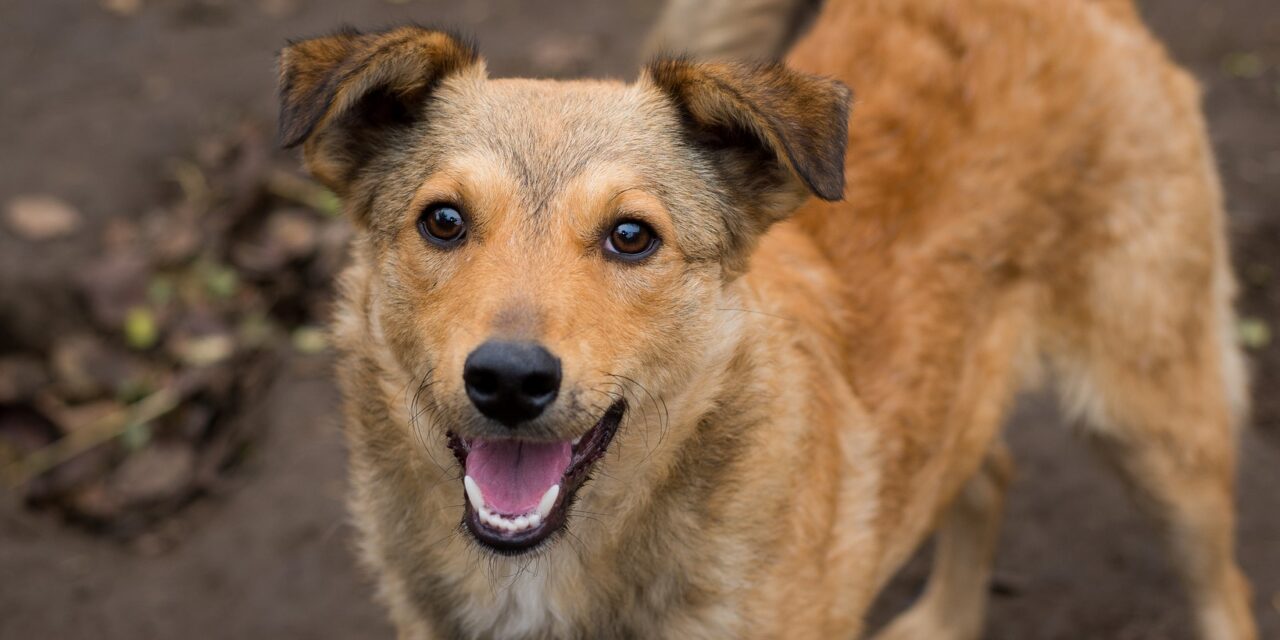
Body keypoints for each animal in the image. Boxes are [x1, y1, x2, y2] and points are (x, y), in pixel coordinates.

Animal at [275, 2, 1254, 637]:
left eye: (631, 236)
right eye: (443, 220)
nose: (510, 378)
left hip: (1160, 425)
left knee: (1228, 588)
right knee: (987, 470)